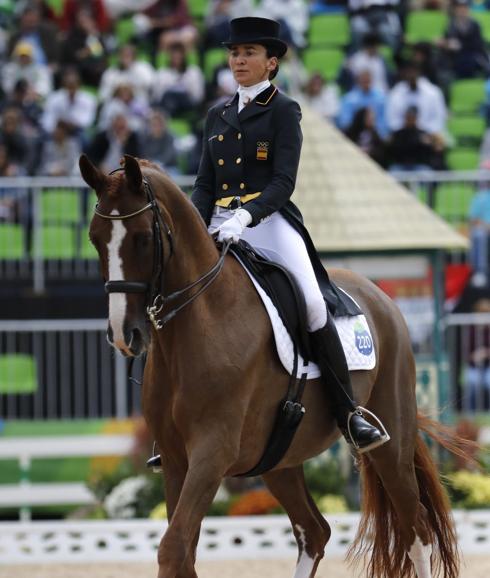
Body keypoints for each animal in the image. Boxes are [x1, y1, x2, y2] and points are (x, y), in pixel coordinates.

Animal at [78, 153, 462, 576]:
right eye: (96, 239)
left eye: (144, 238)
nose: (123, 334)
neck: (203, 321)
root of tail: (381, 296)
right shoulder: (177, 459)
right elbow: (183, 552)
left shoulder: (212, 453)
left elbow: (173, 548)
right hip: (278, 459)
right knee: (315, 530)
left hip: (391, 444)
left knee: (416, 530)